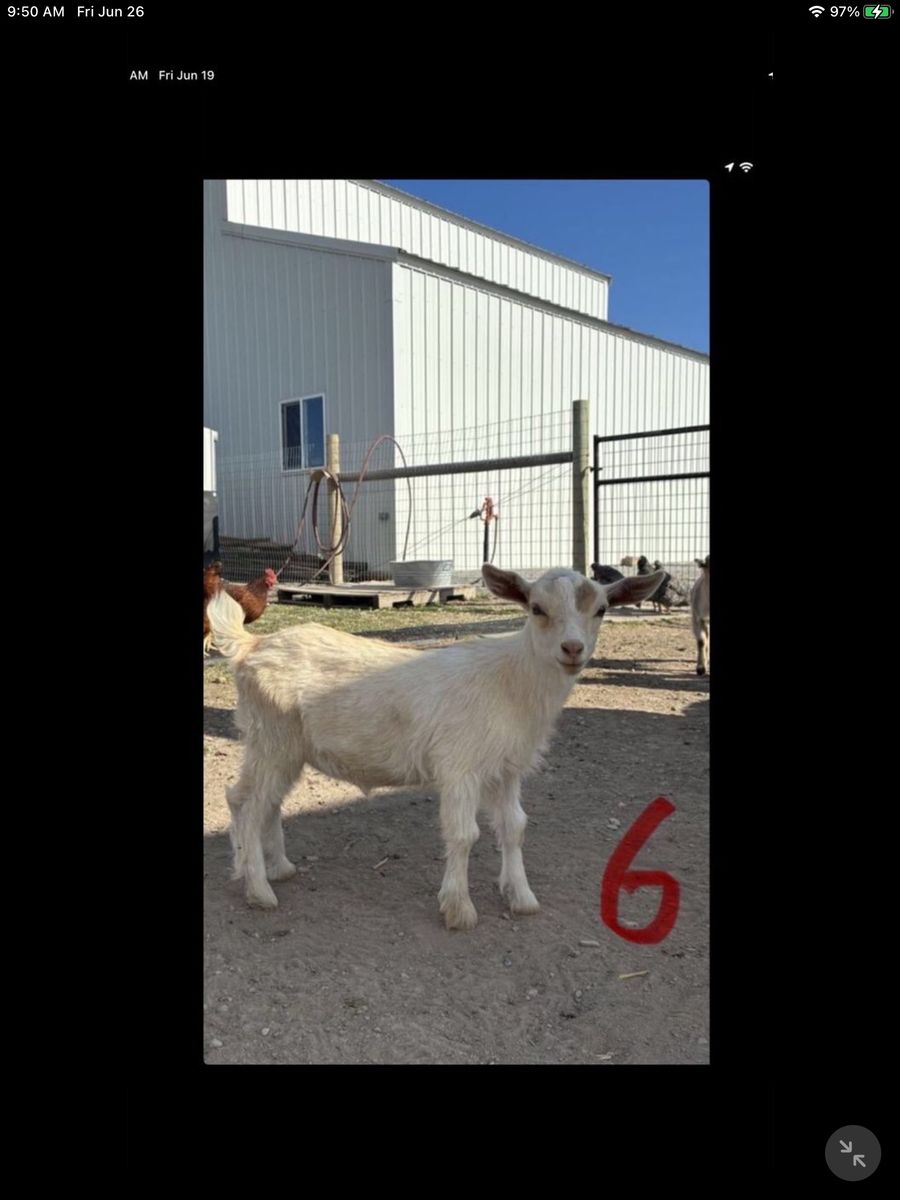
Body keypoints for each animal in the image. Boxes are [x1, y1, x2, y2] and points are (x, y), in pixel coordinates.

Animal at [206, 563, 668, 929]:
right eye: (537, 608)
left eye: (601, 609)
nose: (572, 649)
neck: (511, 682)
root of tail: (250, 646)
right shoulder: (459, 765)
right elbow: (464, 834)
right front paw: (459, 910)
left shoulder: (507, 769)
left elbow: (514, 827)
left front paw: (521, 897)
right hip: (271, 737)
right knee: (246, 802)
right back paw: (258, 889)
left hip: (284, 746)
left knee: (264, 801)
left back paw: (276, 868)